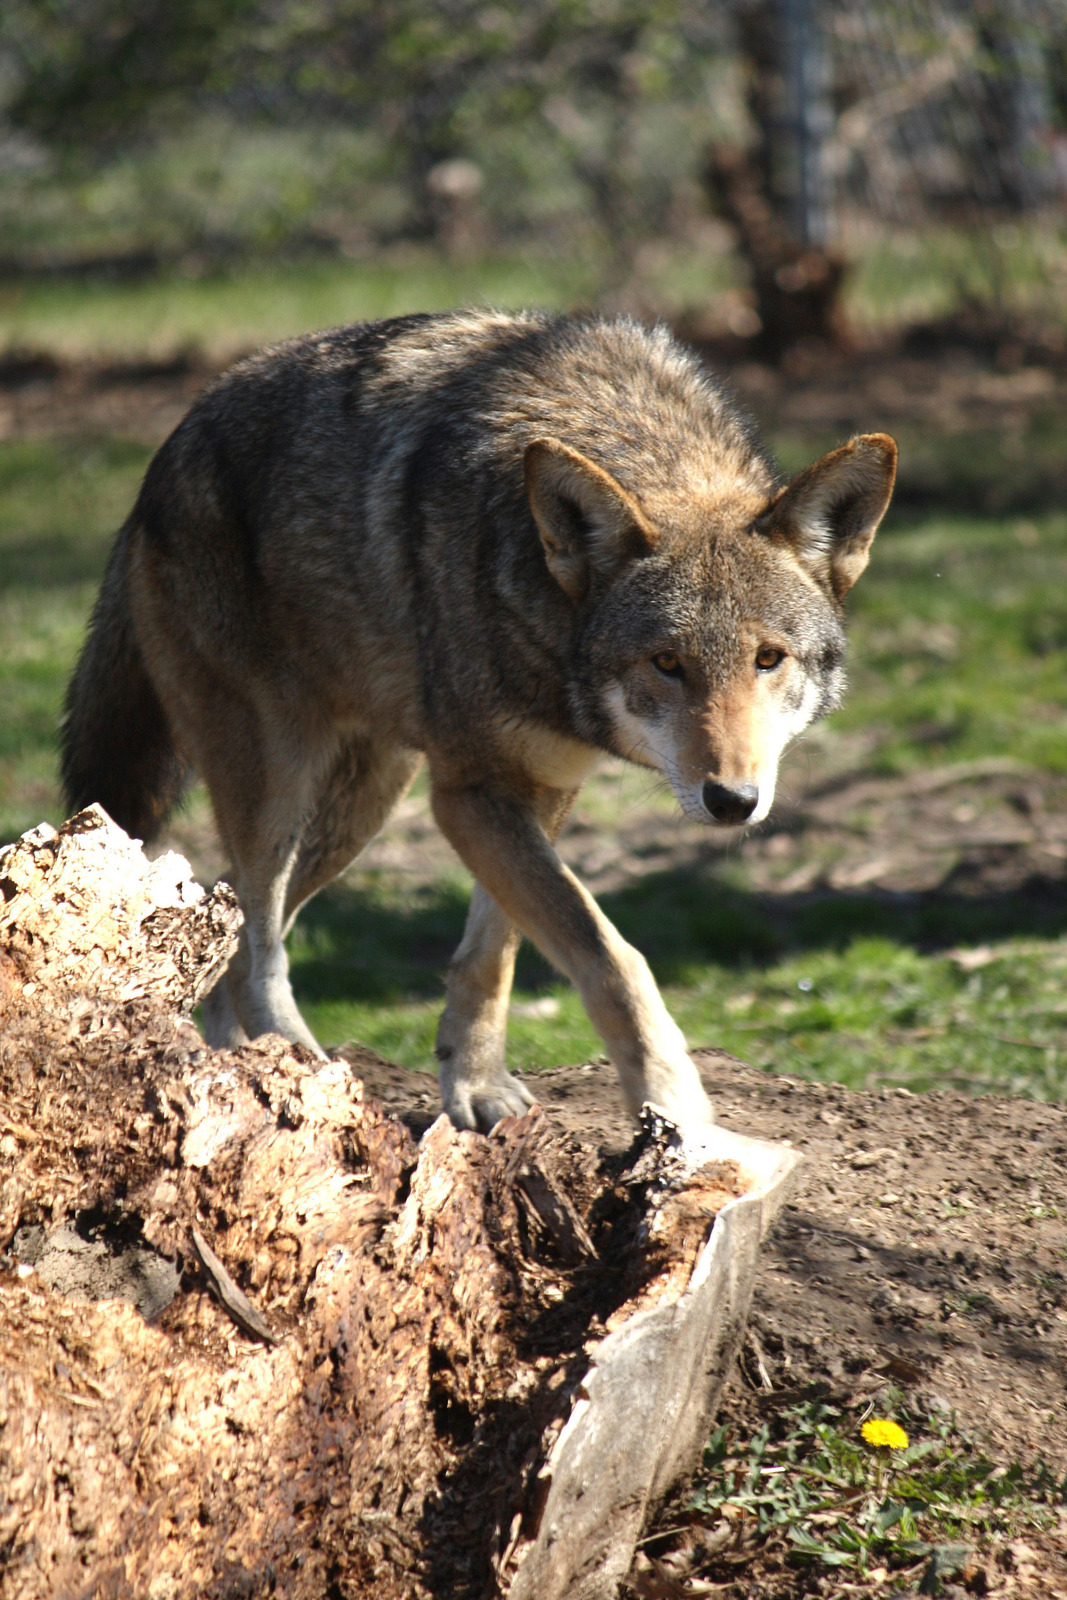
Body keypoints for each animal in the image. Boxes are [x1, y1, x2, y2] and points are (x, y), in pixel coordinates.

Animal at [62, 310, 896, 1133]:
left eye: (767, 659)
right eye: (665, 663)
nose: (732, 801)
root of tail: (164, 456)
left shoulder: (534, 790)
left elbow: (492, 954)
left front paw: (475, 1085)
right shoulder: (471, 794)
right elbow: (610, 956)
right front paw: (673, 1106)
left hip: (360, 806)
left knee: (226, 909)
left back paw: (236, 1067)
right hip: (278, 788)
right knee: (258, 940)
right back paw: (296, 1062)